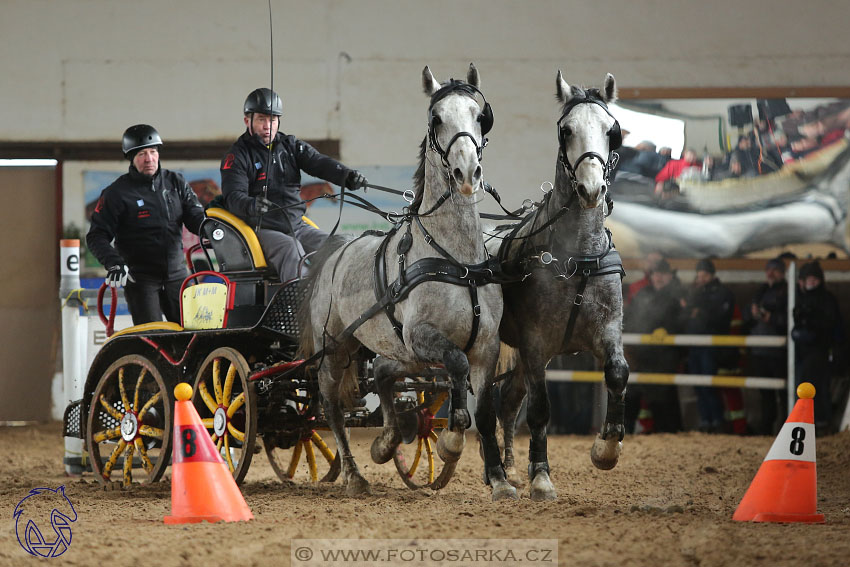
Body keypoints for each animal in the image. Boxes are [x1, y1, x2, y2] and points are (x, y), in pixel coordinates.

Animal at [296, 63, 504, 496]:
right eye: (436, 118)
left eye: (480, 115)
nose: (466, 171)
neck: (456, 261)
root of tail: (335, 251)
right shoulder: (421, 334)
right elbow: (456, 365)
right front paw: (452, 439)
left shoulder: (487, 345)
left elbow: (485, 410)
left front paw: (499, 480)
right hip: (334, 348)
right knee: (331, 406)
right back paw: (354, 476)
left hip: (392, 349)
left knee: (384, 374)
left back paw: (387, 441)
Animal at [476, 71, 628, 502]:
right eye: (566, 130)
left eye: (612, 130)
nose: (591, 189)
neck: (578, 258)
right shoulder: (535, 343)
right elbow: (541, 409)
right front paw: (541, 476)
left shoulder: (608, 330)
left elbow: (617, 373)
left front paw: (606, 449)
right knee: (488, 404)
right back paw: (492, 470)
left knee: (508, 402)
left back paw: (509, 467)